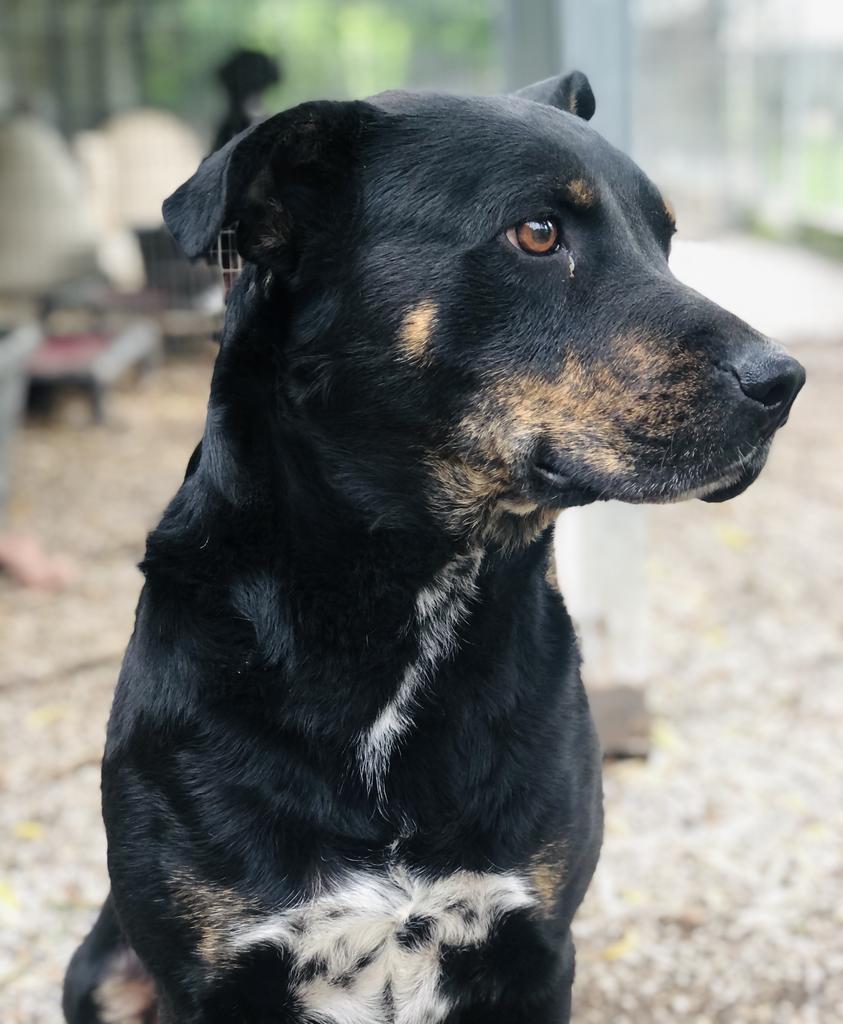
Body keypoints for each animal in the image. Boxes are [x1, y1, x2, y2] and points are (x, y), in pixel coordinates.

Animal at [64, 74, 803, 1024]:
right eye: (537, 232)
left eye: (665, 242)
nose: (783, 382)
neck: (411, 595)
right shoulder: (210, 976)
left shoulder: (535, 948)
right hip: (102, 970)